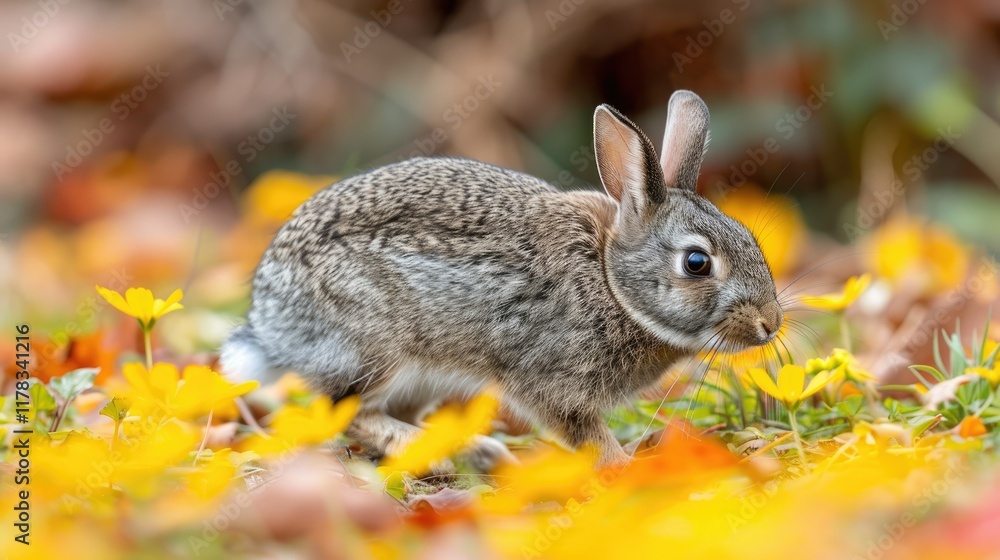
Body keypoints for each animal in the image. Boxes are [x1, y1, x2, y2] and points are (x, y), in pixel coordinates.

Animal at [220, 90, 783, 469]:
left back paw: (479, 453)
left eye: (749, 238)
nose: (770, 324)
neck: (611, 282)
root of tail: (269, 321)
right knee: (345, 411)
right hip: (376, 348)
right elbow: (586, 436)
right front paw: (624, 467)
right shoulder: (550, 383)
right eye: (697, 263)